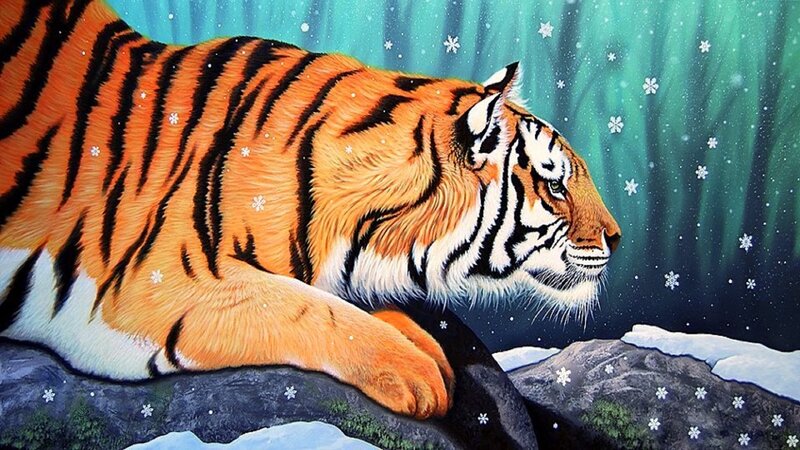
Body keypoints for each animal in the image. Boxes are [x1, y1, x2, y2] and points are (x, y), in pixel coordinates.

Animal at [0, 0, 621, 419]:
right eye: (555, 184)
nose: (617, 238)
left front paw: (424, 344)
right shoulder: (146, 284)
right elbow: (303, 306)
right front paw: (417, 373)